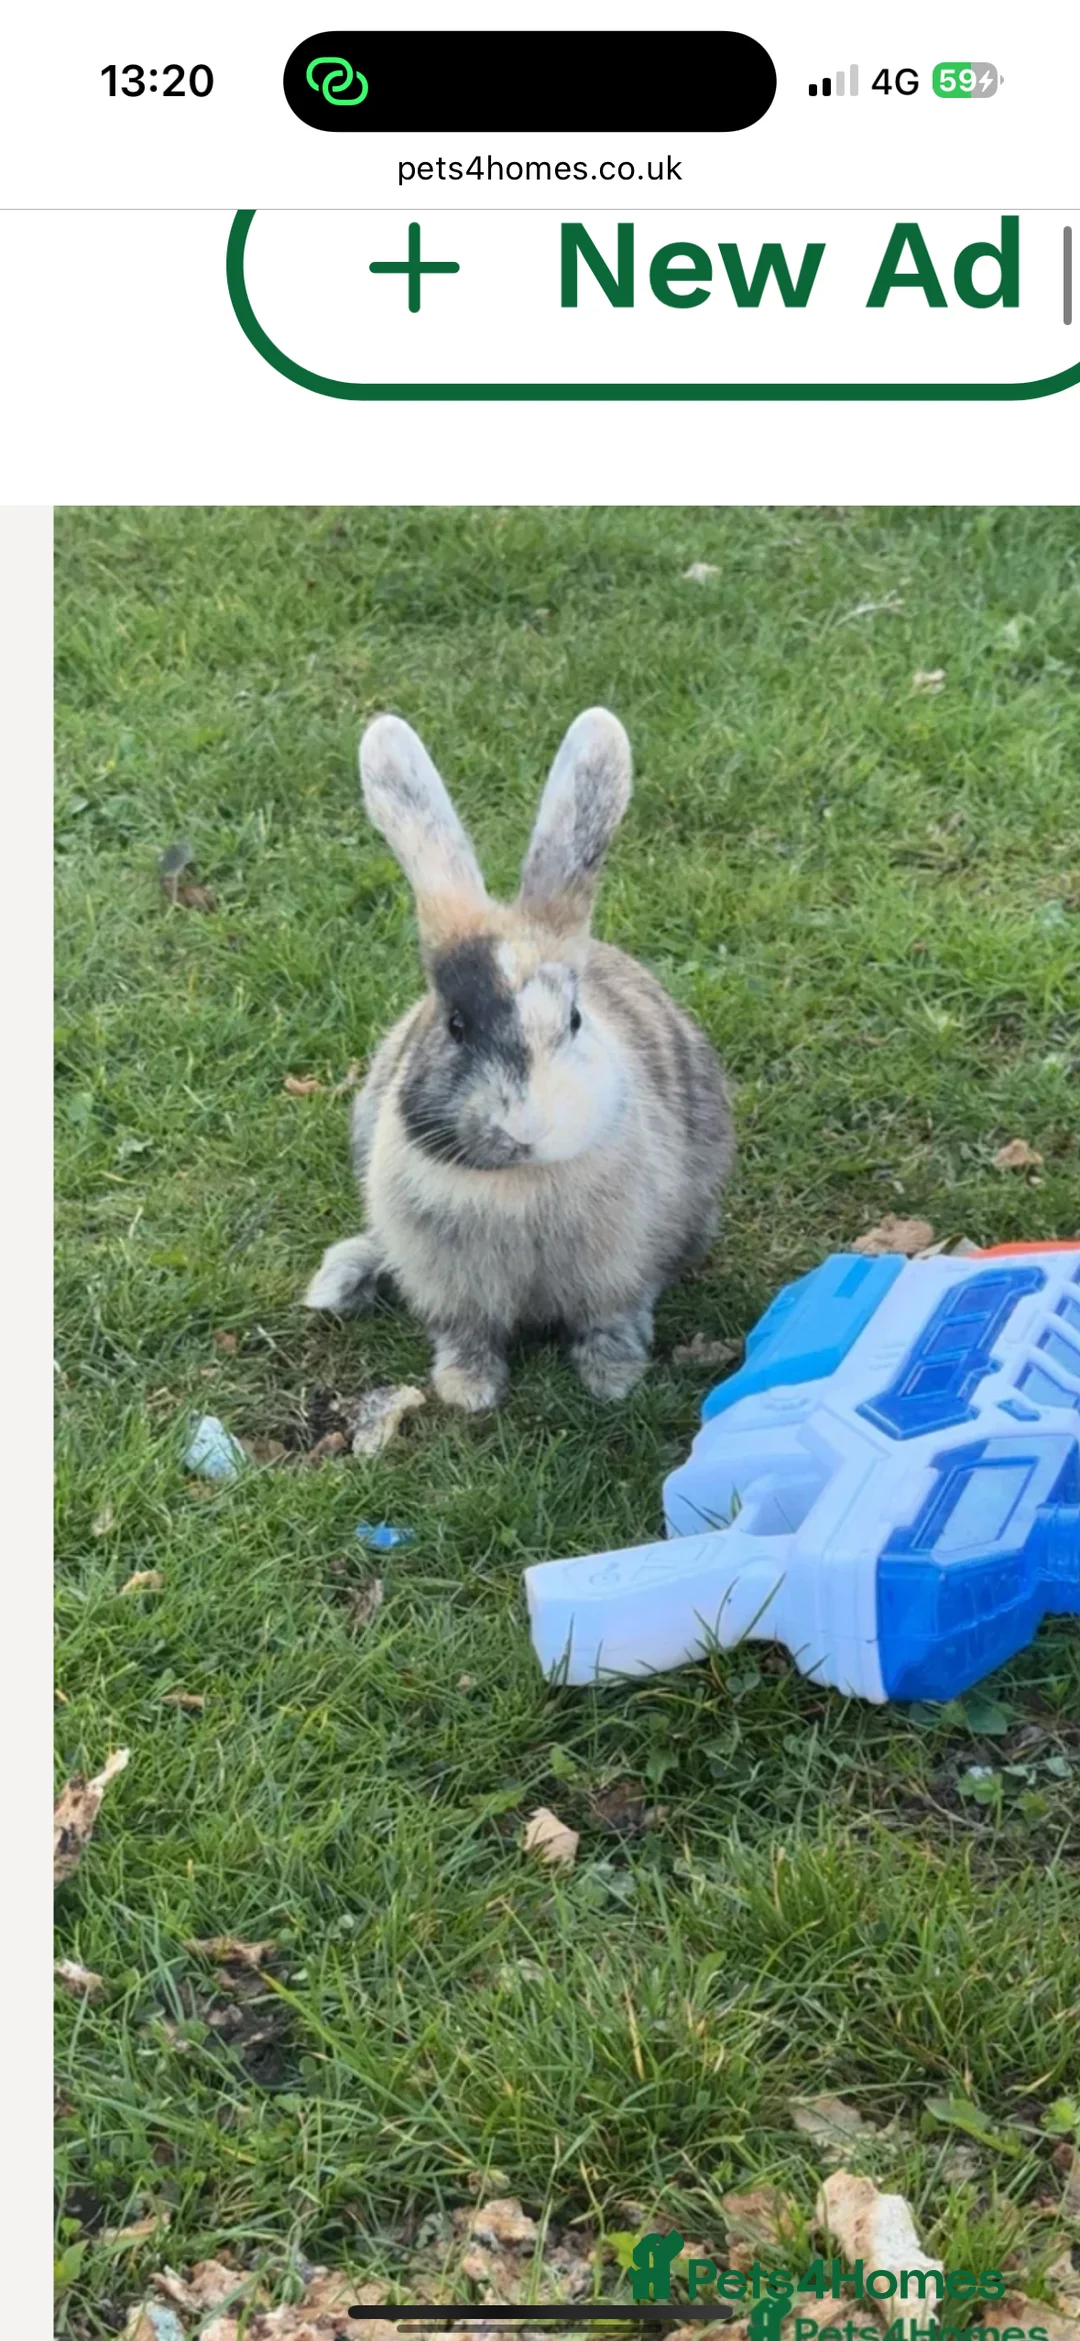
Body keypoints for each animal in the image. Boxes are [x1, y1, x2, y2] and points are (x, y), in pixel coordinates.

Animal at [304, 708, 734, 1410]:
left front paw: (613, 1380)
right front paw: (467, 1391)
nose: (528, 1128)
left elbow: (608, 1319)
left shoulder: (615, 1269)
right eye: (455, 1025)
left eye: (575, 1020)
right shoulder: (451, 1286)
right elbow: (466, 1332)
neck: (519, 1182)